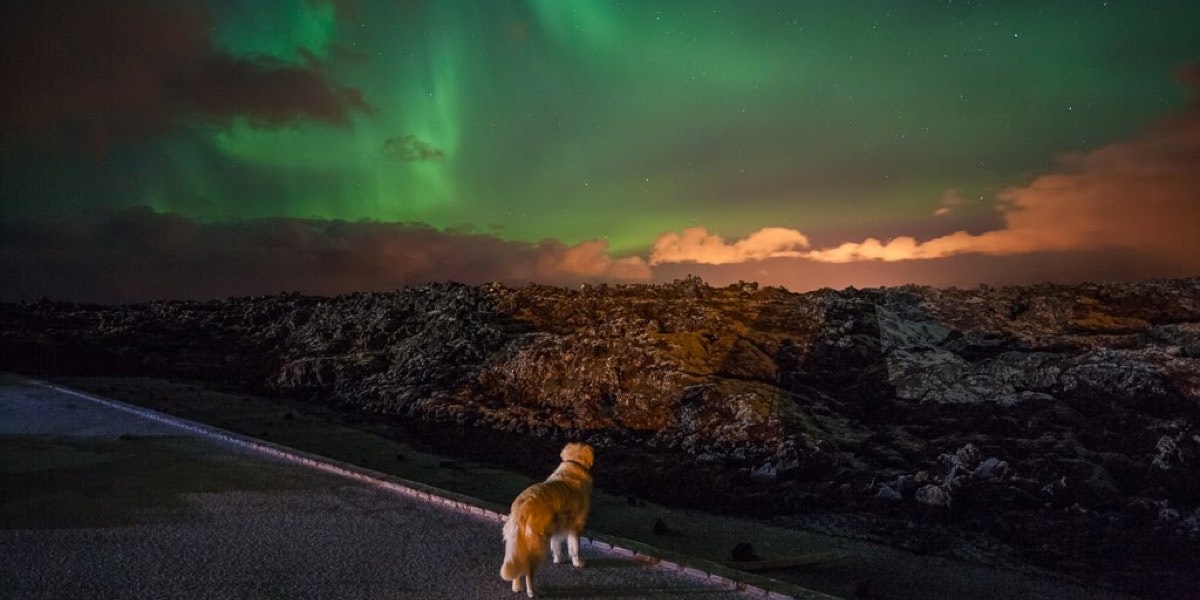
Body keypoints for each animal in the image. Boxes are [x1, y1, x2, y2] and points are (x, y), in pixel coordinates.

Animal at [499, 441, 592, 595]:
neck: (573, 464)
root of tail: (520, 509)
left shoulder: (558, 526)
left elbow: (557, 544)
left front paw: (558, 559)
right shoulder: (575, 527)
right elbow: (575, 547)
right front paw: (578, 562)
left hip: (516, 542)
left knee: (519, 564)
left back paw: (517, 586)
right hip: (538, 545)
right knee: (529, 570)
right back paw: (532, 591)